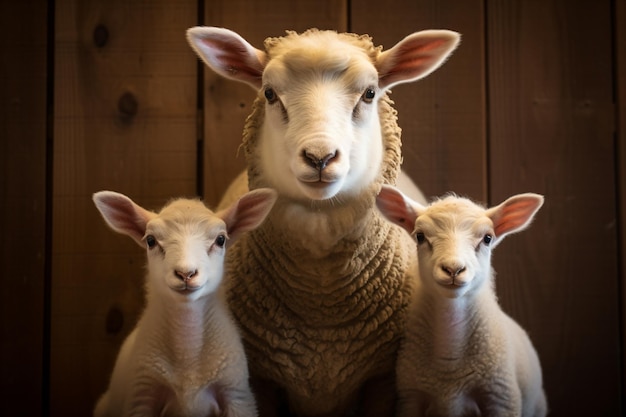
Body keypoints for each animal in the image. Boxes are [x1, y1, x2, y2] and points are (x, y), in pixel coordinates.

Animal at [185, 26, 458, 416]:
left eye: (370, 93)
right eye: (269, 93)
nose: (319, 157)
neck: (322, 308)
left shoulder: (382, 380)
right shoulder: (262, 377)